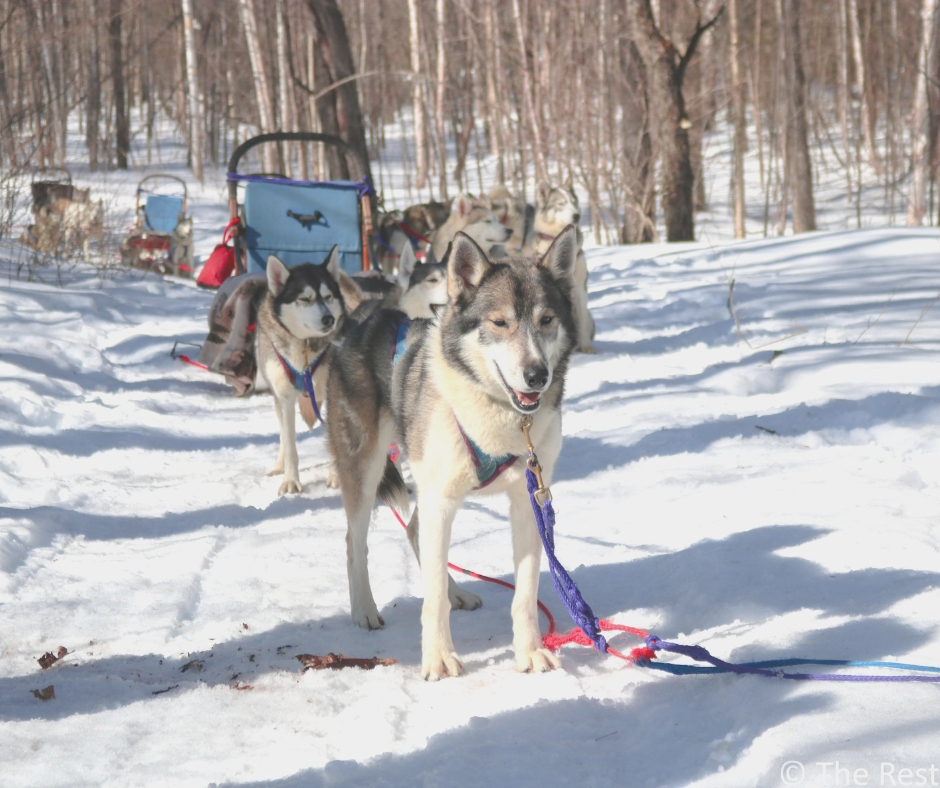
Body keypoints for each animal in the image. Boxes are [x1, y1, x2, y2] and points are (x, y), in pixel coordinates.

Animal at [255, 248, 354, 492]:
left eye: (328, 297)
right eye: (304, 299)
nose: (329, 318)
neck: (306, 349)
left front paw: (336, 477)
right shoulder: (284, 397)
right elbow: (290, 445)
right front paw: (290, 481)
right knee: (283, 435)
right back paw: (279, 466)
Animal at [324, 226, 580, 676]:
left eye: (546, 320)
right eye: (500, 322)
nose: (537, 375)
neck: (500, 414)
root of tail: (364, 318)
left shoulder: (527, 501)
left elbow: (525, 592)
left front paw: (529, 651)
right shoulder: (440, 498)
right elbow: (432, 601)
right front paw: (439, 657)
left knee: (415, 531)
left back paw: (456, 591)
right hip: (367, 467)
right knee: (357, 542)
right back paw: (365, 609)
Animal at [536, 180, 596, 352]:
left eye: (574, 202)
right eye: (561, 204)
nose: (576, 215)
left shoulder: (580, 288)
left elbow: (582, 323)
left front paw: (588, 349)